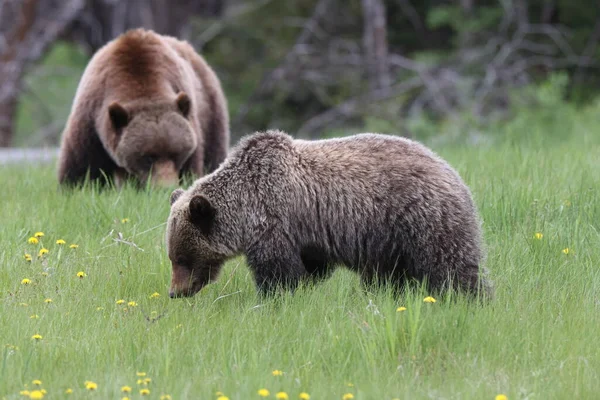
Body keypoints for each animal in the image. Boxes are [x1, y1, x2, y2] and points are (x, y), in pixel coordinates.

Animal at [57, 28, 230, 188]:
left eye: (176, 154)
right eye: (148, 157)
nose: (165, 187)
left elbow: (191, 165)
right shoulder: (91, 117)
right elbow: (80, 166)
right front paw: (75, 186)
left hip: (210, 108)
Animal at [165, 130, 492, 298]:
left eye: (182, 258)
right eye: (173, 257)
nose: (174, 292)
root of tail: (453, 172)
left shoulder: (274, 222)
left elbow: (278, 272)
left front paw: (274, 298)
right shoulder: (307, 234)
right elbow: (312, 266)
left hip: (422, 217)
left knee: (451, 265)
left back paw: (470, 299)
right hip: (391, 241)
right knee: (390, 275)